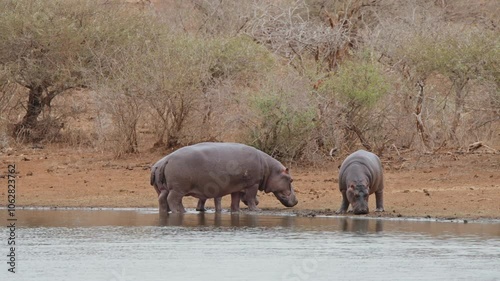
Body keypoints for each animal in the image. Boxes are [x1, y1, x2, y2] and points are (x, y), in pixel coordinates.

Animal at [148, 142, 296, 212]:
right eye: (291, 179)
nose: (296, 200)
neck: (269, 169)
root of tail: (166, 160)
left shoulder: (238, 187)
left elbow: (235, 201)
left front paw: (236, 211)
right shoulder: (252, 184)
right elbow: (250, 197)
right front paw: (256, 210)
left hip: (165, 189)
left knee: (162, 199)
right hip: (177, 189)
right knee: (173, 200)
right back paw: (179, 213)